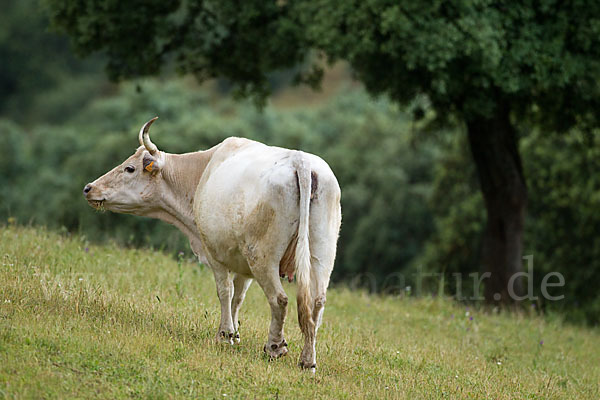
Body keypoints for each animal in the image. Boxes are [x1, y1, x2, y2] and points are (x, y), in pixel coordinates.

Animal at [83, 117, 342, 370]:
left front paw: (224, 335)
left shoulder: (214, 253)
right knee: (316, 304)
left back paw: (275, 347)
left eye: (130, 168)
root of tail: (301, 159)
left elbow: (224, 291)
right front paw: (235, 334)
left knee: (279, 299)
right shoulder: (242, 265)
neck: (202, 173)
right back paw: (307, 361)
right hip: (322, 254)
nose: (89, 188)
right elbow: (238, 297)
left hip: (263, 257)